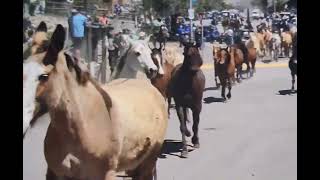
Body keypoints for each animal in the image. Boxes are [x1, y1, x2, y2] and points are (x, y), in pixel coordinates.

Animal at [23, 24, 168, 180]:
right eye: (137, 53)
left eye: (44, 76)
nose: (153, 70)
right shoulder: (55, 173)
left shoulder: (106, 174)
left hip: (148, 163)